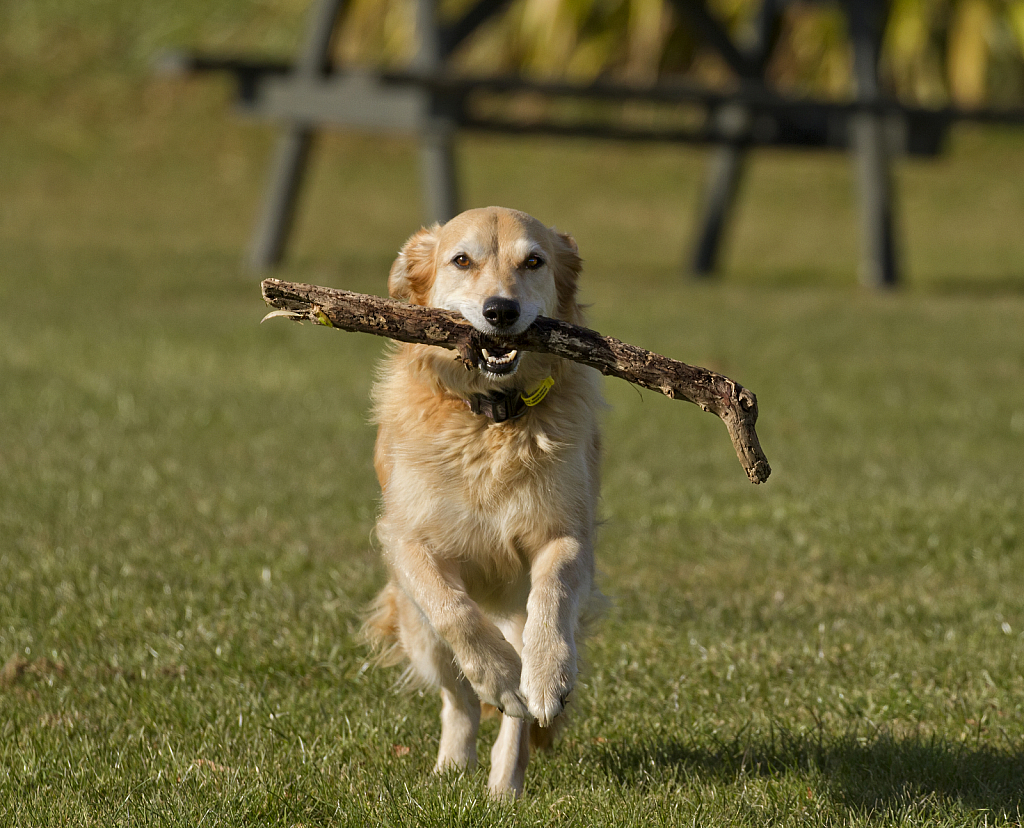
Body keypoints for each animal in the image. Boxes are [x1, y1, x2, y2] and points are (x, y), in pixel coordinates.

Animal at [366, 204, 602, 794]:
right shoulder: (406, 540)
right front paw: (498, 676)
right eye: (462, 260)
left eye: (534, 261)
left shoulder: (566, 534)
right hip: (417, 630)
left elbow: (553, 593)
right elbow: (455, 612)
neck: (491, 419)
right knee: (460, 698)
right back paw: (453, 765)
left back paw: (504, 785)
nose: (500, 310)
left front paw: (547, 675)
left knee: (515, 713)